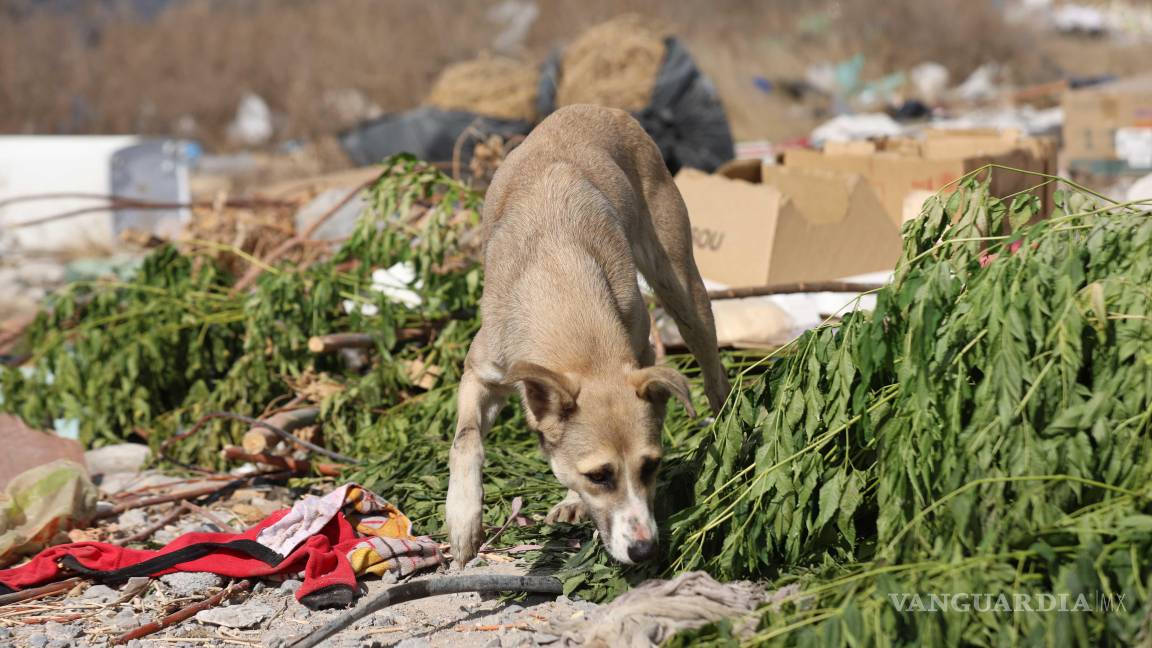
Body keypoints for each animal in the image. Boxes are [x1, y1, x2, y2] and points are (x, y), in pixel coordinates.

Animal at [446, 103, 728, 562]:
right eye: (599, 475)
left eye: (651, 465)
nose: (644, 551)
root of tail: (599, 108)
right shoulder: (480, 372)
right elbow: (466, 440)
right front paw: (463, 522)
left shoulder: (640, 355)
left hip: (682, 287)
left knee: (714, 371)